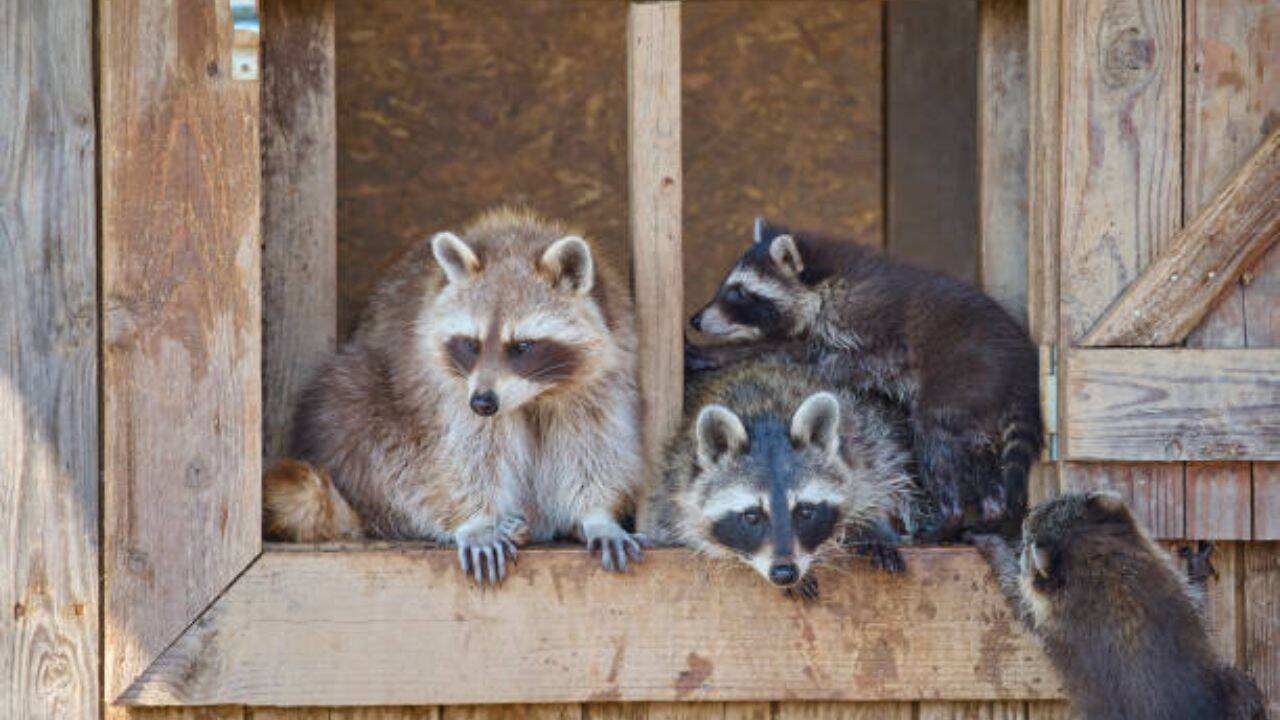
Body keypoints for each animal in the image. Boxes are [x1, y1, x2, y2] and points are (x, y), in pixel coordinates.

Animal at [267, 208, 646, 583]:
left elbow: (591, 444)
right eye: (471, 344)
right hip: (354, 402)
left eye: (522, 346)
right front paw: (476, 521)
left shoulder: (599, 379)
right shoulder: (445, 386)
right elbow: (464, 453)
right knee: (366, 428)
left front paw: (596, 514)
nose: (483, 402)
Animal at [638, 358, 913, 599]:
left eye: (805, 511)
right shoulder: (673, 488)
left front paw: (873, 528)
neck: (767, 414)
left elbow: (876, 484)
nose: (784, 573)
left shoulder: (864, 448)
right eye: (751, 516)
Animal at [688, 217, 1042, 540]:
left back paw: (950, 517)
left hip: (960, 382)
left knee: (937, 439)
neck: (826, 282)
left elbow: (809, 357)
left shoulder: (867, 330)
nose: (695, 319)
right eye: (729, 286)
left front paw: (721, 353)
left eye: (739, 292)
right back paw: (990, 512)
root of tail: (1021, 371)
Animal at [969, 492, 1268, 720]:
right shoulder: (1170, 583)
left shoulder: (1049, 619)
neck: (1100, 567)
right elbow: (1198, 604)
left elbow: (1015, 590)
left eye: (1028, 535)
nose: (1025, 515)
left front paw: (995, 549)